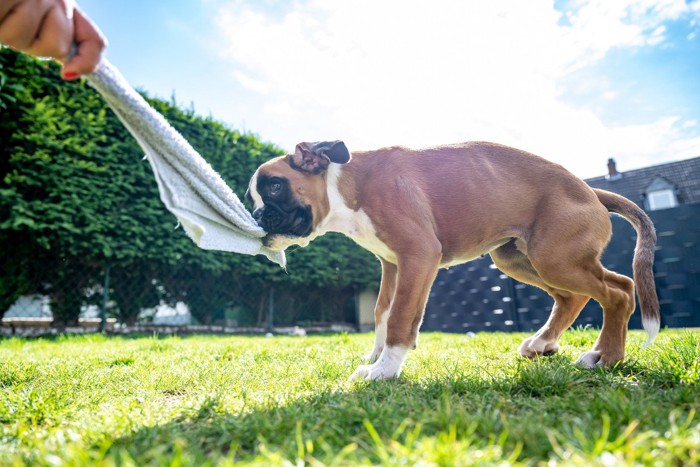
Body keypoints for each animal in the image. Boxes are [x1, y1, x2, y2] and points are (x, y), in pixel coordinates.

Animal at [243, 142, 660, 380]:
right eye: (254, 197)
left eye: (275, 187)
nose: (257, 217)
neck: (347, 185)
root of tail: (590, 189)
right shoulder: (393, 266)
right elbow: (382, 313)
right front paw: (378, 356)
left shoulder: (418, 255)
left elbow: (400, 318)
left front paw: (384, 371)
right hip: (519, 259)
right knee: (578, 296)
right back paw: (543, 343)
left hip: (555, 259)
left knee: (619, 292)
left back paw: (605, 358)